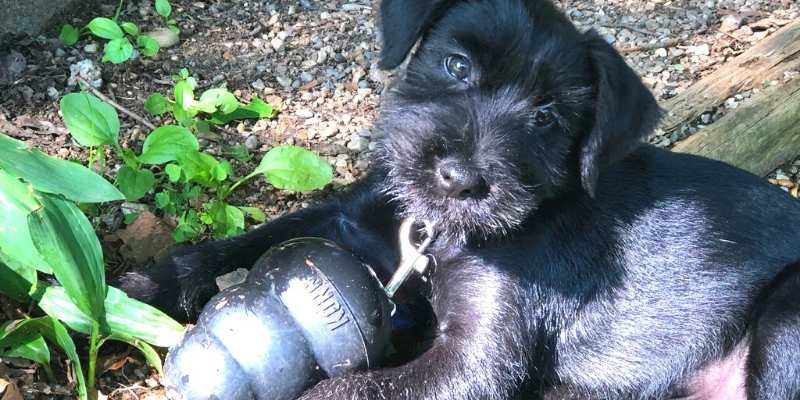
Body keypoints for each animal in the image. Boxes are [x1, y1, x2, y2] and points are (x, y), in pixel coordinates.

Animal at [117, 0, 800, 400]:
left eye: (547, 116)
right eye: (456, 65)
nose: (458, 178)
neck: (433, 234)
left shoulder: (473, 359)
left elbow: (345, 391)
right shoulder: (347, 219)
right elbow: (250, 240)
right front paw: (142, 289)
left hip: (786, 318)